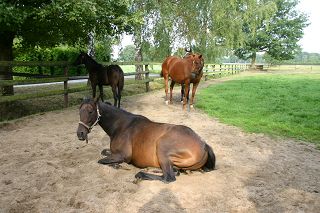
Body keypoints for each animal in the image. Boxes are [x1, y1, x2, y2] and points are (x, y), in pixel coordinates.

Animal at [76, 98, 216, 183]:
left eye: (90, 111)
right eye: (79, 111)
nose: (80, 134)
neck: (121, 126)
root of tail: (204, 144)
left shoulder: (123, 155)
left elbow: (101, 160)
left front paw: (117, 165)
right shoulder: (114, 152)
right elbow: (104, 152)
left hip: (162, 147)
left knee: (168, 177)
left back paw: (141, 174)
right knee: (174, 171)